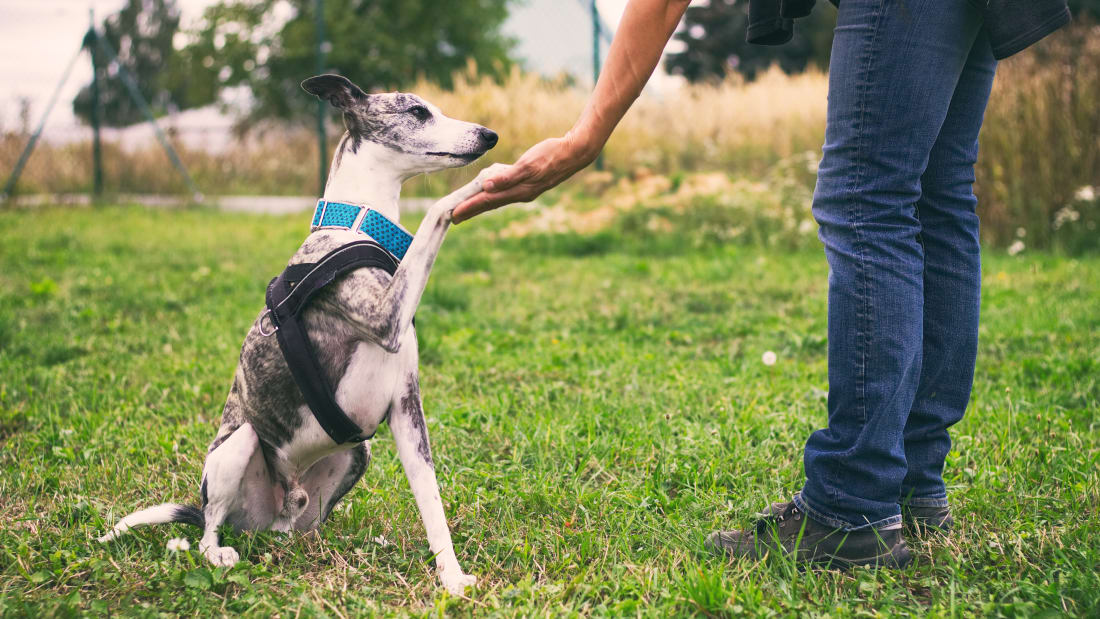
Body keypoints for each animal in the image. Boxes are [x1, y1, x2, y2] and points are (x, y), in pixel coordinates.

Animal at [99, 73, 503, 593]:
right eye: (418, 112)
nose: (489, 136)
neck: (356, 227)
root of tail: (272, 515)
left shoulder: (406, 406)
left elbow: (431, 501)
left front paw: (451, 578)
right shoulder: (385, 317)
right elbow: (436, 209)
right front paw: (486, 179)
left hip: (356, 455)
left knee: (302, 530)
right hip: (240, 444)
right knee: (209, 529)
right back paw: (219, 551)